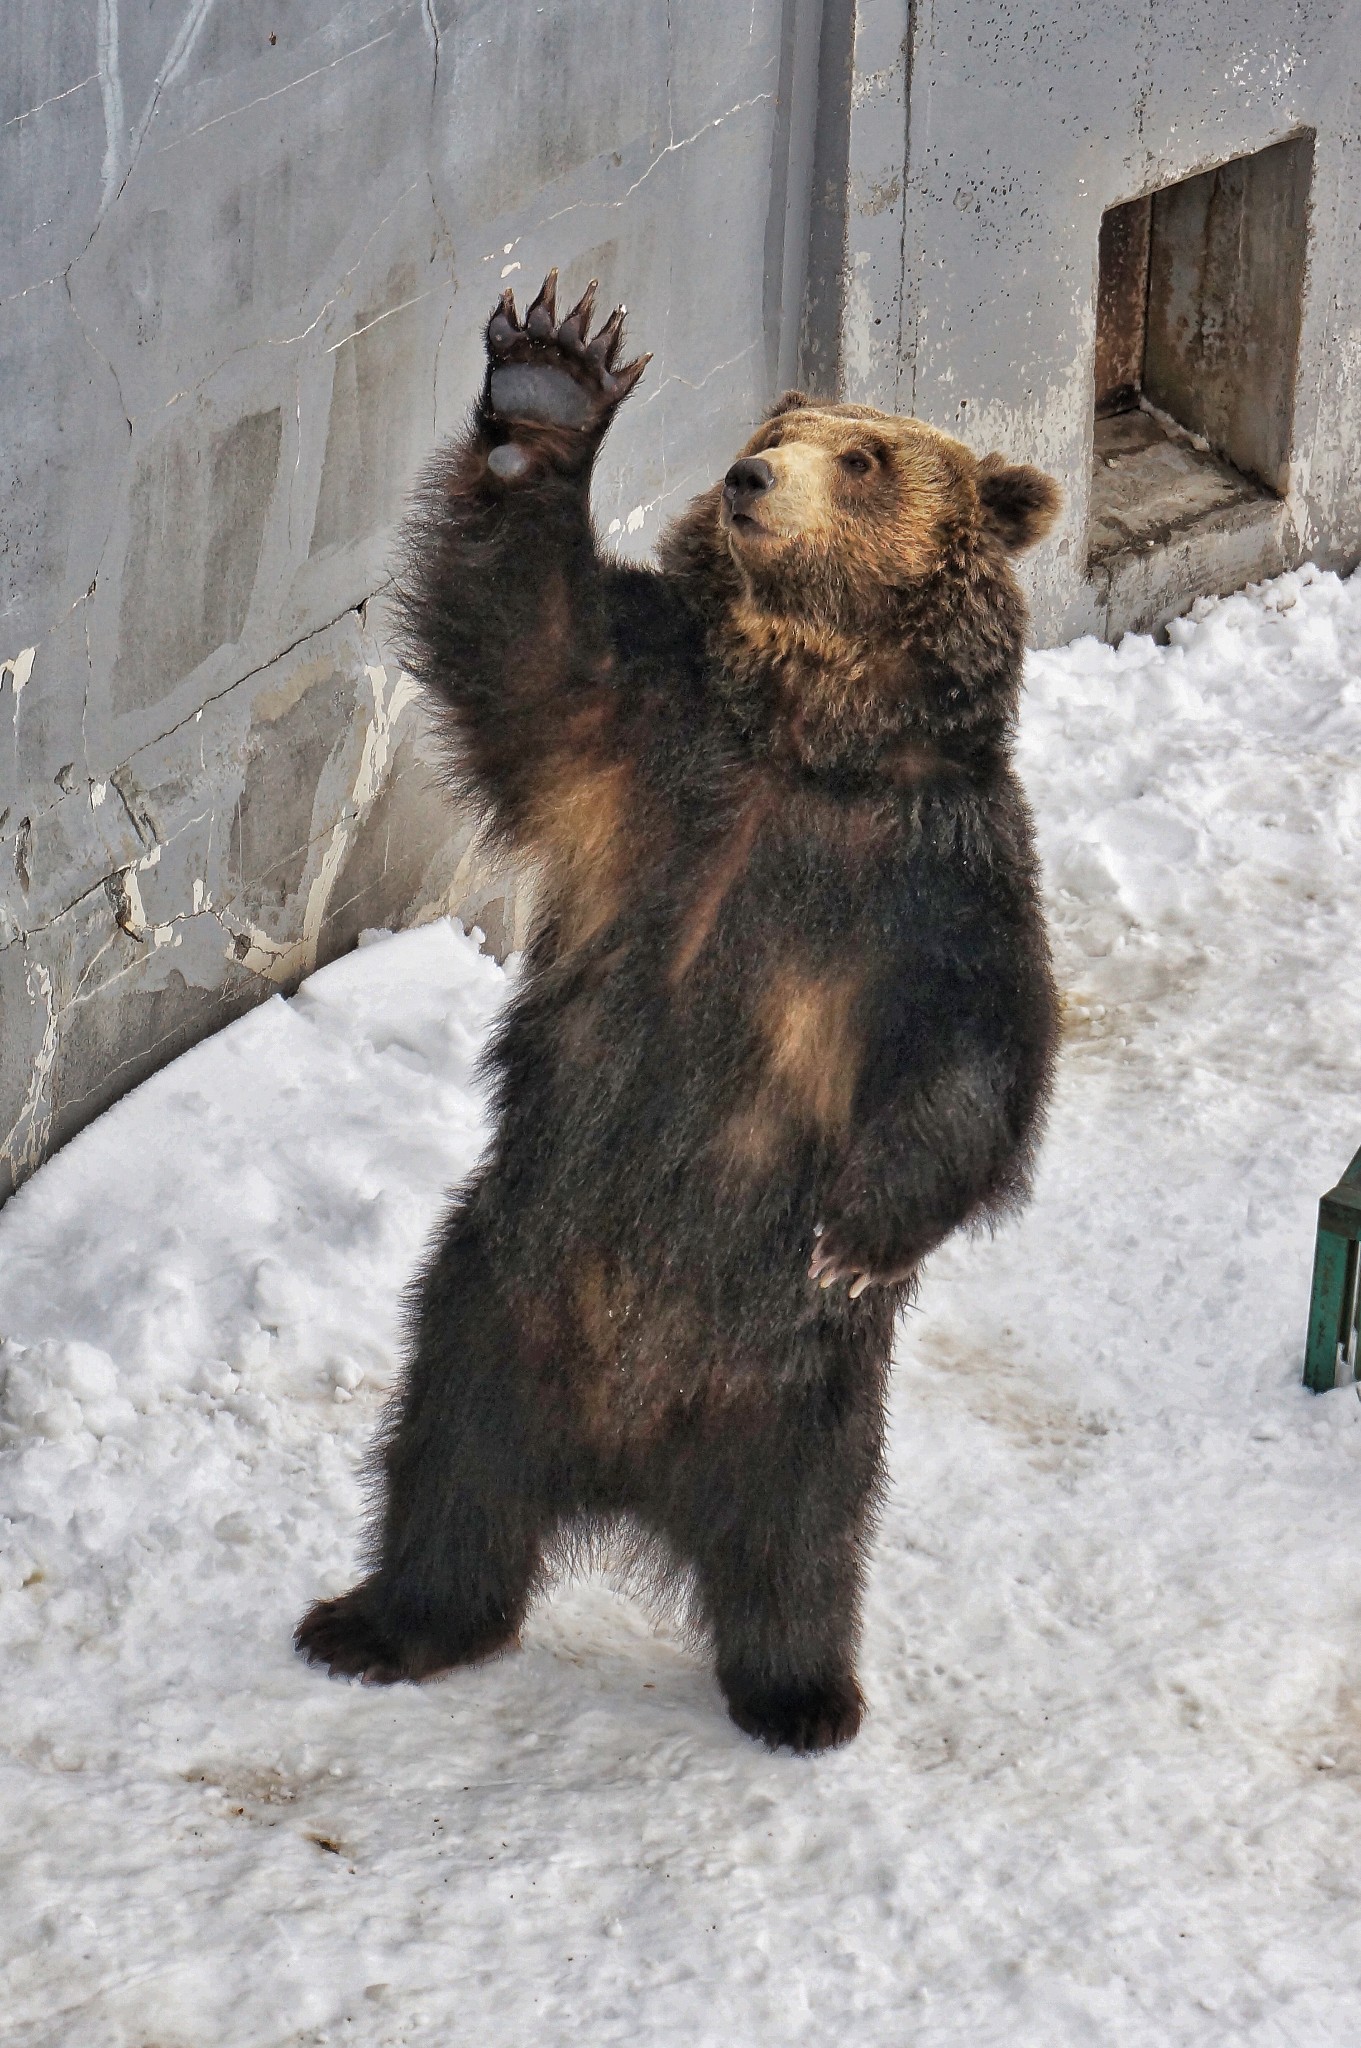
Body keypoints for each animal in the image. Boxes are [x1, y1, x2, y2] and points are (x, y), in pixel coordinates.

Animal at [296, 264, 1064, 1753]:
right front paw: (548, 382)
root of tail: (622, 1460)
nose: (752, 475)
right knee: (447, 1469)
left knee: (801, 1537)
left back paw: (800, 1689)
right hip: (494, 1295)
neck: (805, 732)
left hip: (798, 1388)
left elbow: (974, 1053)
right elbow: (524, 636)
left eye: (865, 457)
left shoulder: (940, 877)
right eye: (774, 422)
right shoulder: (642, 728)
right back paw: (382, 1621)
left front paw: (858, 1230)